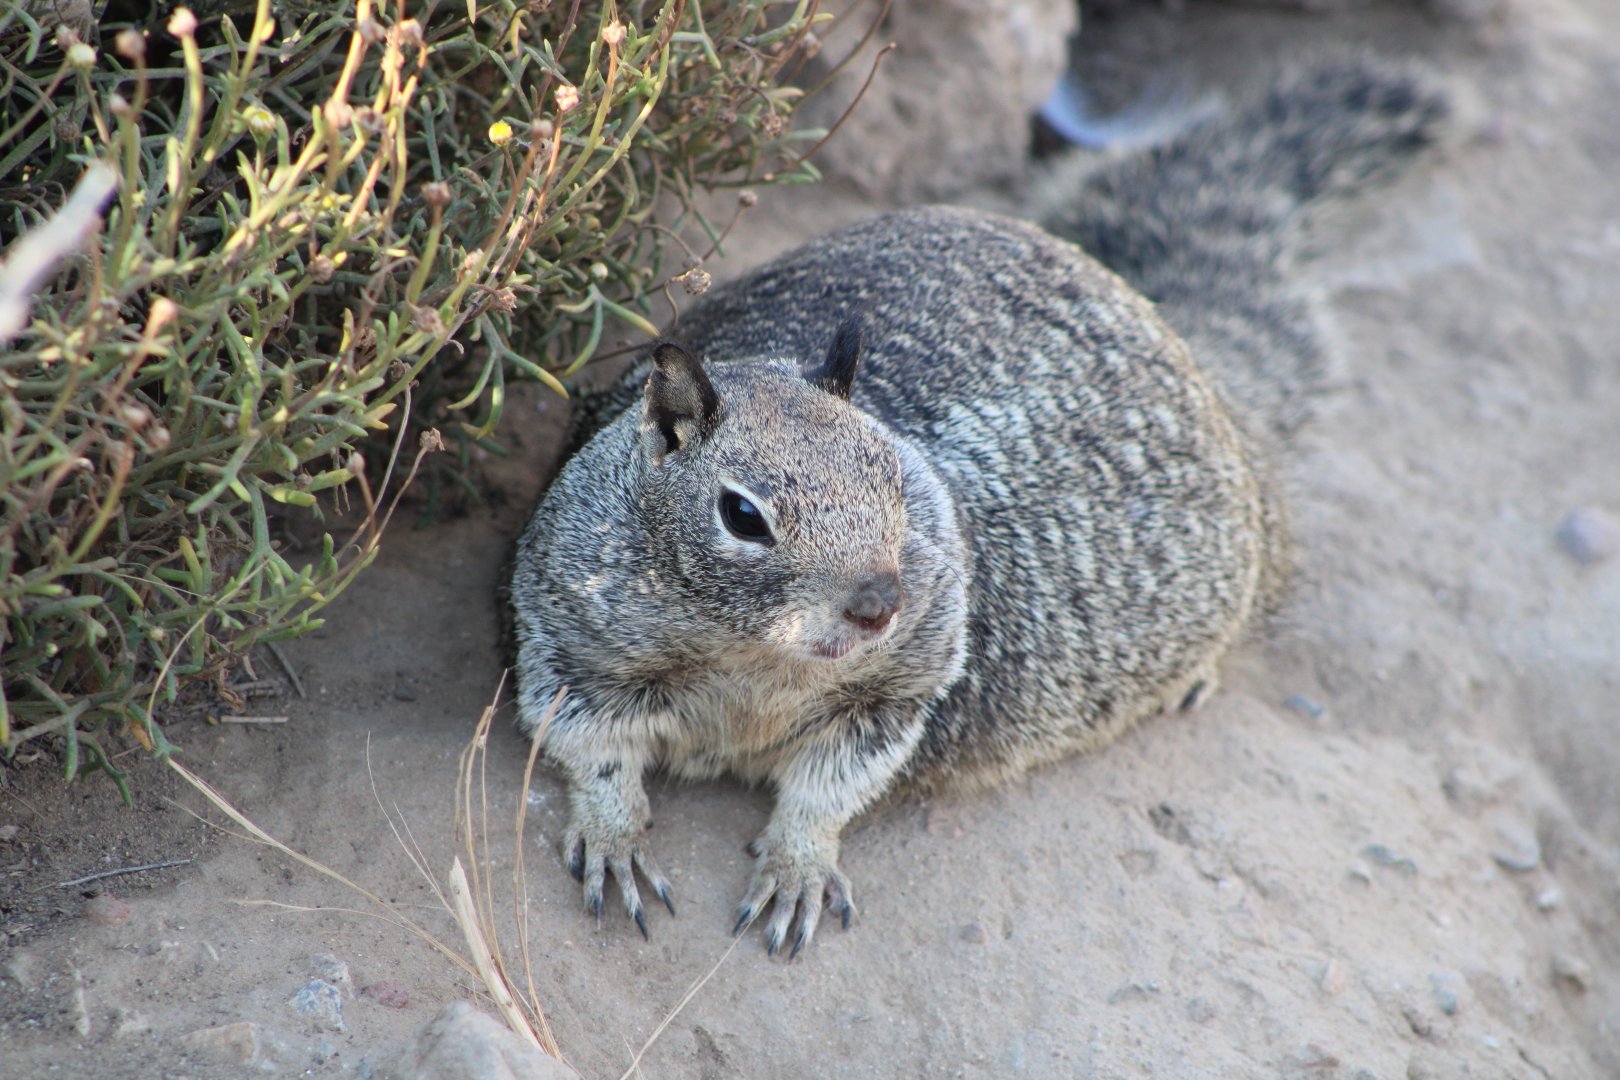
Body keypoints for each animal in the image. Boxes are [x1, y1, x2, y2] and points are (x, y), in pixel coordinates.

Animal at [507, 55, 1455, 958]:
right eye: (744, 516)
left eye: (893, 478)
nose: (879, 605)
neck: (754, 664)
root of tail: (1179, 335)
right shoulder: (566, 639)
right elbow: (587, 751)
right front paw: (613, 839)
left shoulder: (901, 690)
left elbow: (831, 788)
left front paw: (797, 865)